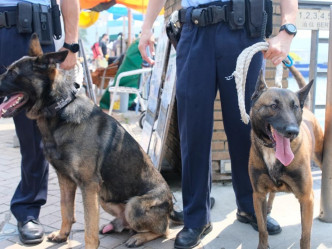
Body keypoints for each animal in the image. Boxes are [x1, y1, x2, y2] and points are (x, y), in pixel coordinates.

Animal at [0, 34, 182, 249]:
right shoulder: (66, 179)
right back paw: (118, 227)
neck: (59, 110)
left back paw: (139, 237)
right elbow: (65, 210)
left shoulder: (88, 185)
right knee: (129, 224)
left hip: (133, 205)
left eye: (13, 73)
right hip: (105, 197)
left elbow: (89, 228)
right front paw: (63, 234)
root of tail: (171, 206)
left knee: (163, 229)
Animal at [249, 66, 324, 249]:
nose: (292, 131)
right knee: (272, 194)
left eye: (295, 106)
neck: (271, 151)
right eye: (273, 105)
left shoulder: (306, 198)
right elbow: (262, 229)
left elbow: (305, 236)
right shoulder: (258, 195)